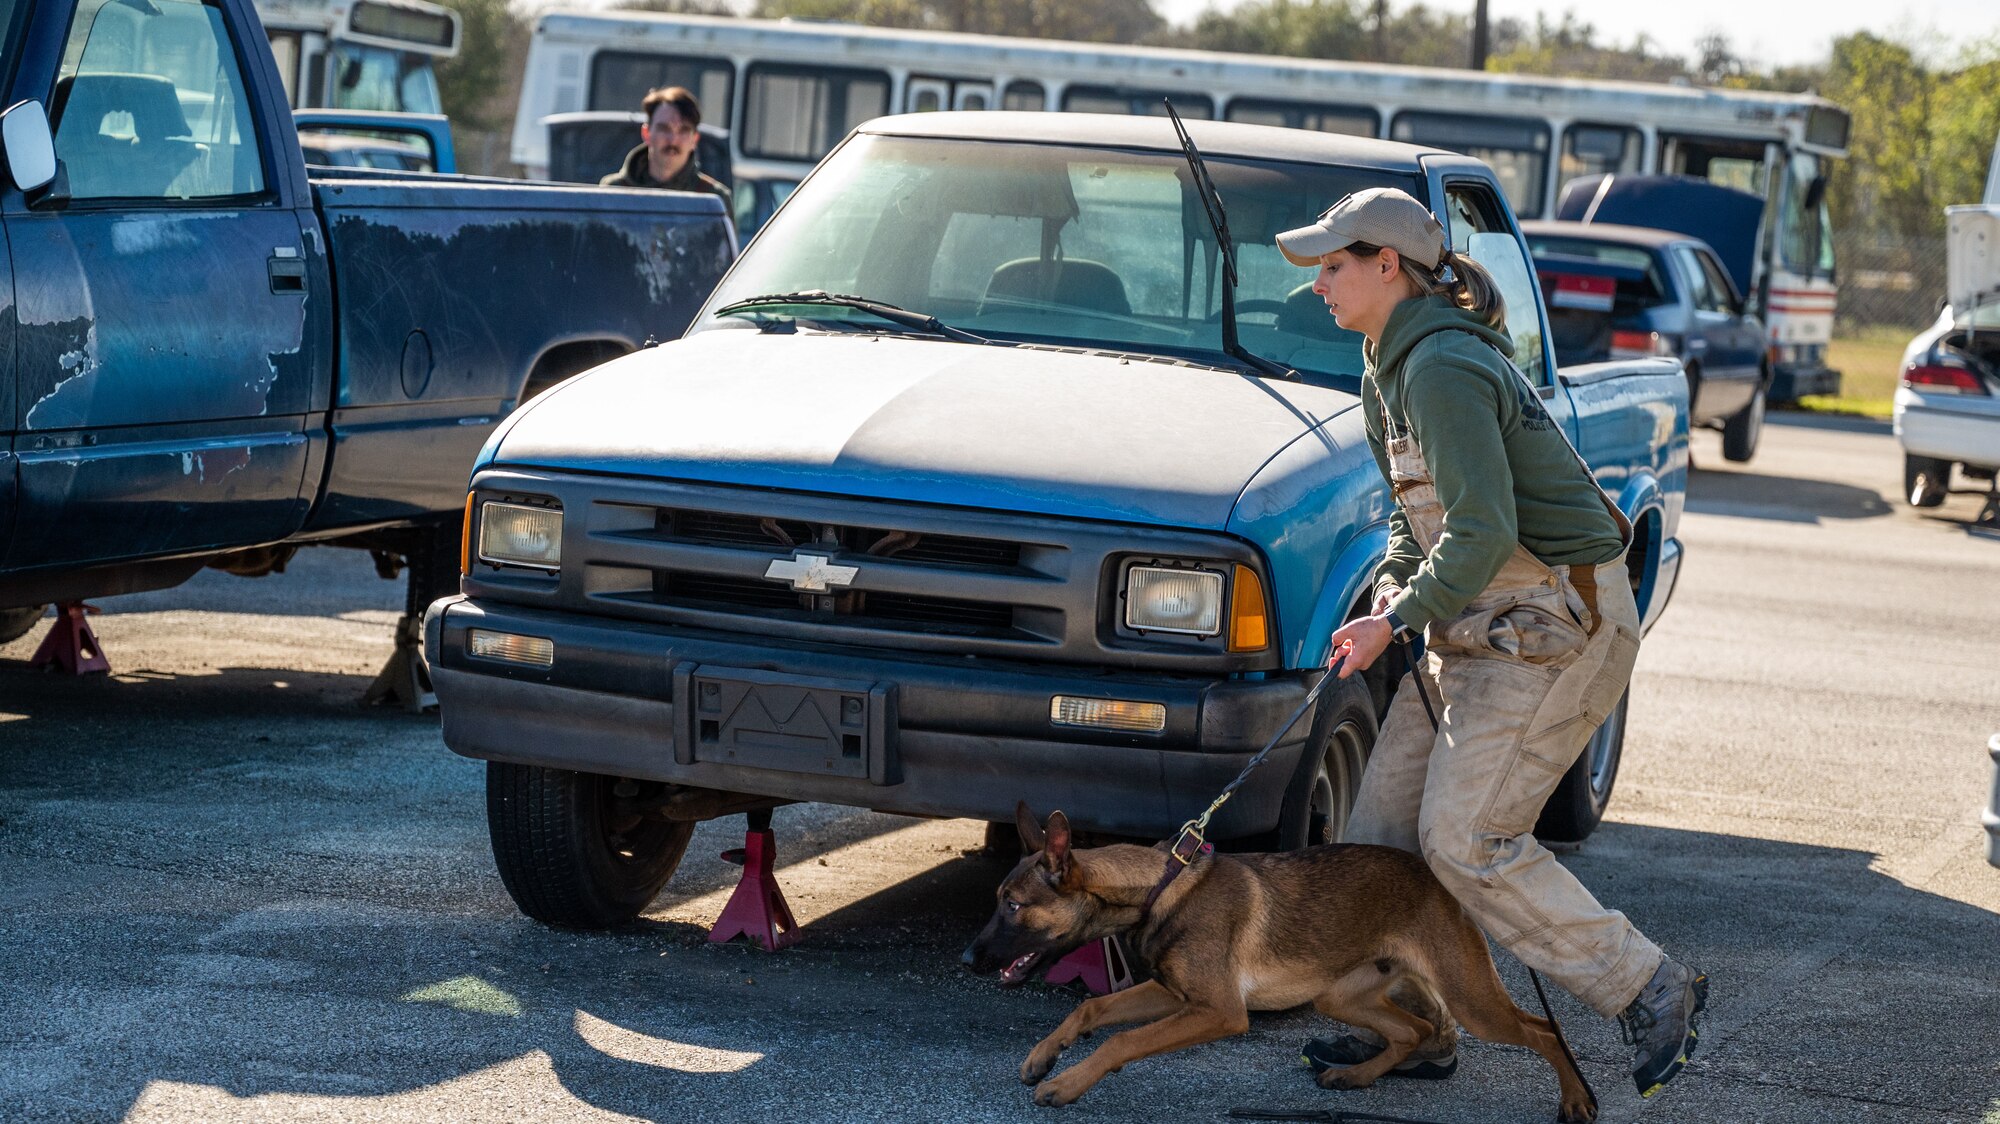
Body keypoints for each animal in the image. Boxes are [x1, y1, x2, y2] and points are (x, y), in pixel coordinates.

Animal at [960, 800, 1600, 1112]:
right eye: (996, 901)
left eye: (1013, 906)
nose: (967, 960)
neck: (1160, 886)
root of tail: (1438, 879)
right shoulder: (1173, 995)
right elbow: (1090, 1011)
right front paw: (1044, 1057)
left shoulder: (1216, 1011)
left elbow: (1122, 1041)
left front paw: (1067, 1085)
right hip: (1339, 996)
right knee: (1413, 1030)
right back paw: (1354, 1076)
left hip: (1471, 1000)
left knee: (1543, 1029)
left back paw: (1576, 1099)